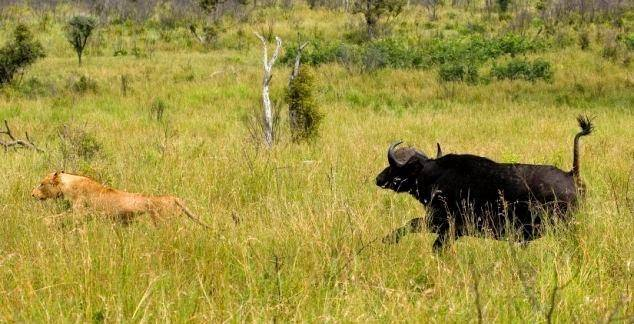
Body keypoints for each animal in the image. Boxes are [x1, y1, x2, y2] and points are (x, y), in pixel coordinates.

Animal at [372, 116, 592, 251]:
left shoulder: (442, 224)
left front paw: (388, 239)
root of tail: (571, 174)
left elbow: (412, 225)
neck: (434, 176)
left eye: (394, 166)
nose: (379, 178)